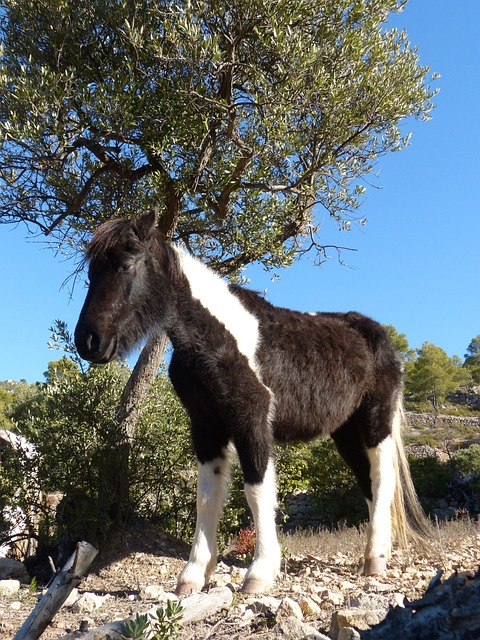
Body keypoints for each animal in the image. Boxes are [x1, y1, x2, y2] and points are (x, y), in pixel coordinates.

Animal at [74, 210, 428, 596]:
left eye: (125, 264)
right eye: (91, 273)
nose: (88, 341)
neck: (216, 338)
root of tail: (379, 336)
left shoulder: (251, 420)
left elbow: (257, 491)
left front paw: (260, 572)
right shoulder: (206, 428)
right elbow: (207, 497)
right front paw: (193, 575)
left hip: (375, 425)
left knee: (382, 481)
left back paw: (375, 560)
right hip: (346, 434)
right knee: (368, 485)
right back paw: (376, 555)